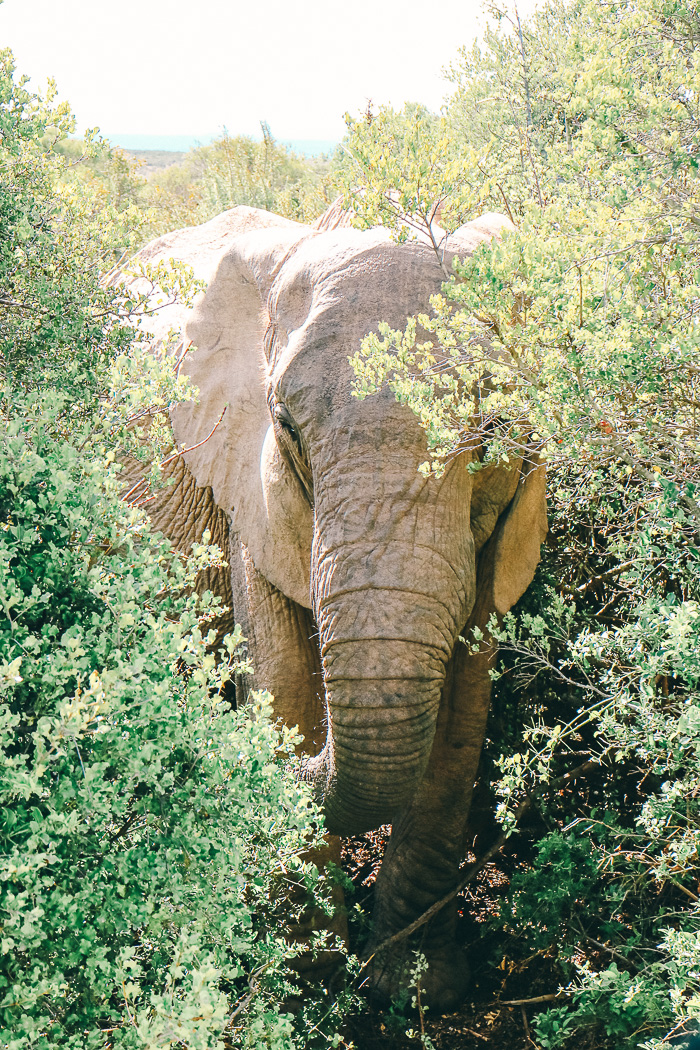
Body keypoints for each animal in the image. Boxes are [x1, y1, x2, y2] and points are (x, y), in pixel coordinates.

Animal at [119, 198, 545, 1007]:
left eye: (497, 434)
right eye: (286, 426)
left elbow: (463, 714)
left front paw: (416, 990)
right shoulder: (246, 487)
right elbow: (284, 681)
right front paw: (307, 983)